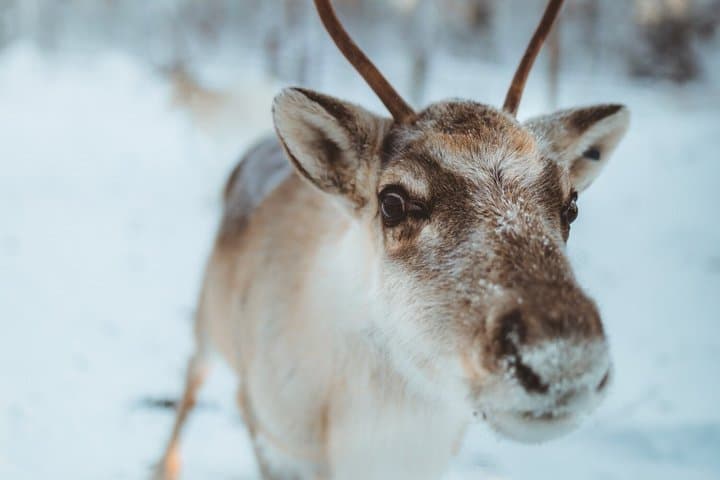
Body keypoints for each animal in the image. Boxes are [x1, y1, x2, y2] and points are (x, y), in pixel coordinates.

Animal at [154, 0, 629, 478]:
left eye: (571, 205)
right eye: (393, 202)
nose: (567, 361)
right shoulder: (271, 438)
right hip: (206, 321)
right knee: (190, 383)